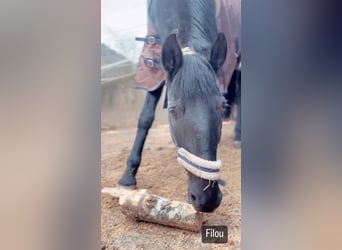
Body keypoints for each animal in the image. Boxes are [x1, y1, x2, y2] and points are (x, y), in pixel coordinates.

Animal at [119, 0, 228, 213]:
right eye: (172, 110)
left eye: (222, 105)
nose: (207, 198)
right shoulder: (154, 59)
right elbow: (145, 118)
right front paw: (128, 175)